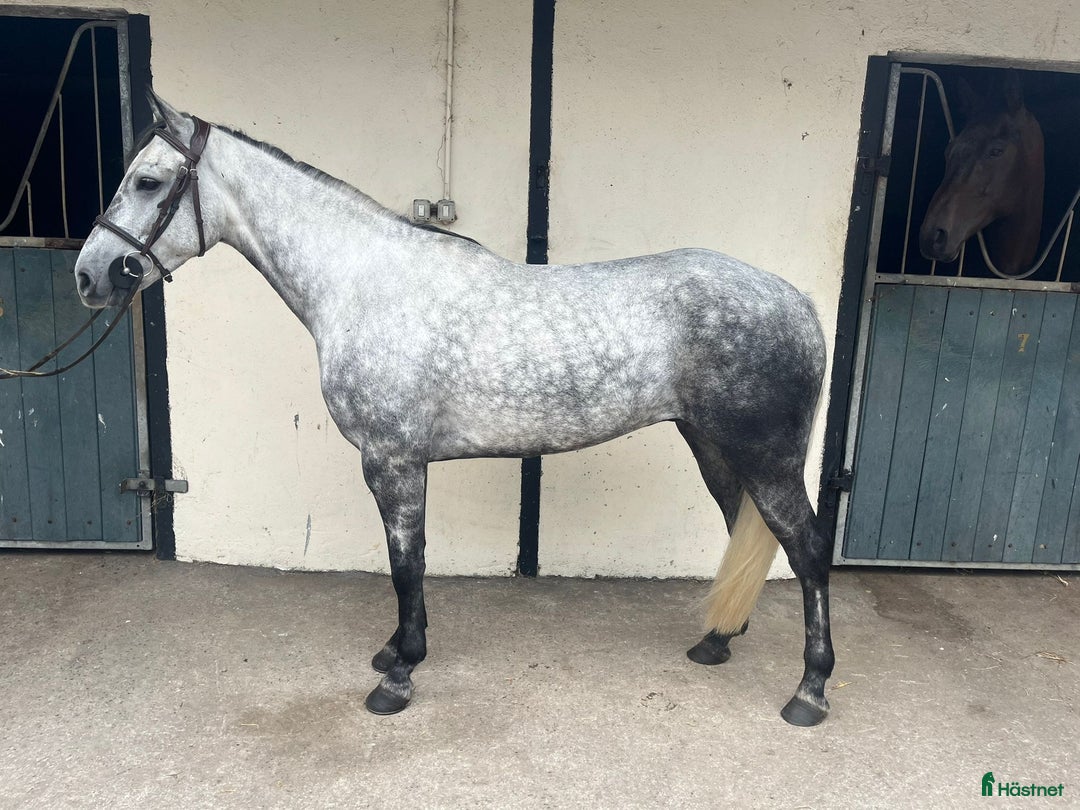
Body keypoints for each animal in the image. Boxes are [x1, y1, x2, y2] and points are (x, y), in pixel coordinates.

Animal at [73, 95, 834, 726]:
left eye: (147, 181)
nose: (89, 274)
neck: (362, 283)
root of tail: (795, 299)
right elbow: (403, 562)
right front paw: (392, 653)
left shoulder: (392, 461)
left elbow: (406, 563)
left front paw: (398, 676)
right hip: (713, 445)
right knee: (742, 526)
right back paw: (716, 641)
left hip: (768, 457)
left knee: (807, 546)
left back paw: (810, 691)